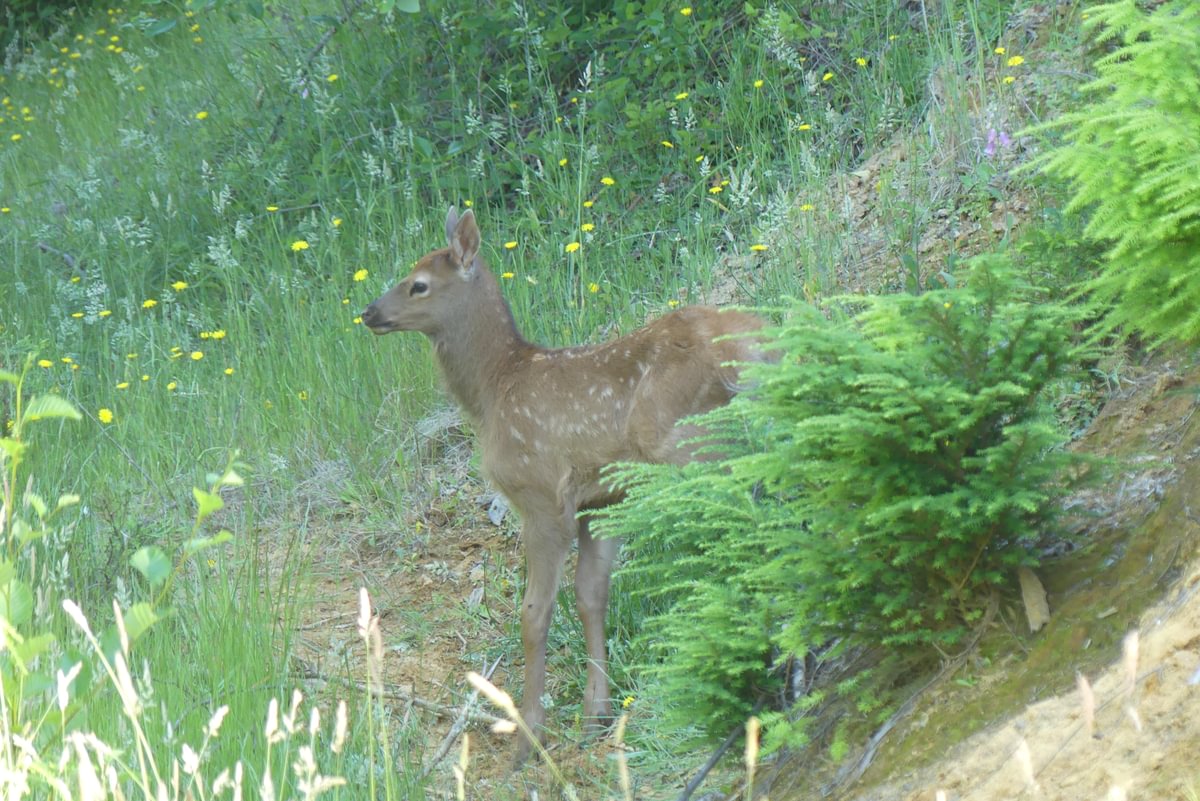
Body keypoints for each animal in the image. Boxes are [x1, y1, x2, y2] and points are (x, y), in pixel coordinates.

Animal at [362, 207, 767, 765]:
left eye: (418, 284)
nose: (368, 312)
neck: (494, 389)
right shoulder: (602, 500)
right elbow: (590, 594)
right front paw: (597, 715)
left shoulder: (539, 495)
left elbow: (535, 613)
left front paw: (529, 735)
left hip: (691, 443)